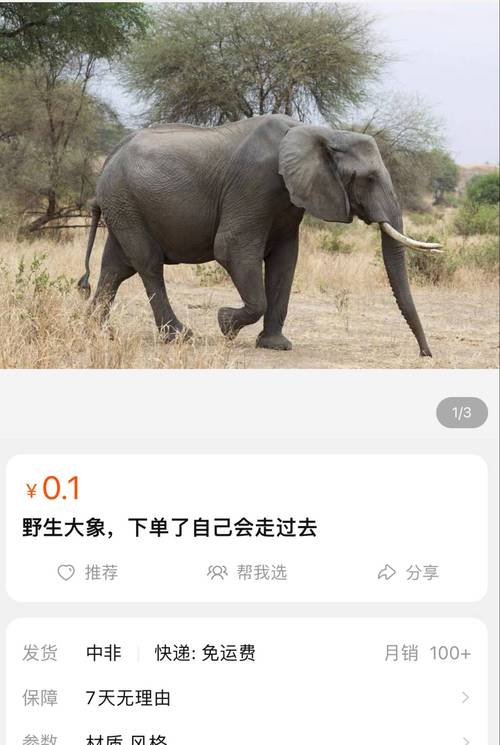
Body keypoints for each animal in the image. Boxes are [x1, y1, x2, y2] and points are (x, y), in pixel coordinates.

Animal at [78, 114, 441, 355]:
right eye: (368, 179)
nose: (426, 354)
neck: (319, 131)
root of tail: (109, 158)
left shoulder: (291, 197)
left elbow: (285, 260)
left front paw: (275, 346)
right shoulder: (254, 183)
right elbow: (231, 248)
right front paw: (225, 325)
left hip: (124, 205)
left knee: (116, 267)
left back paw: (97, 331)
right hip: (125, 200)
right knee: (148, 264)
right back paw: (180, 336)